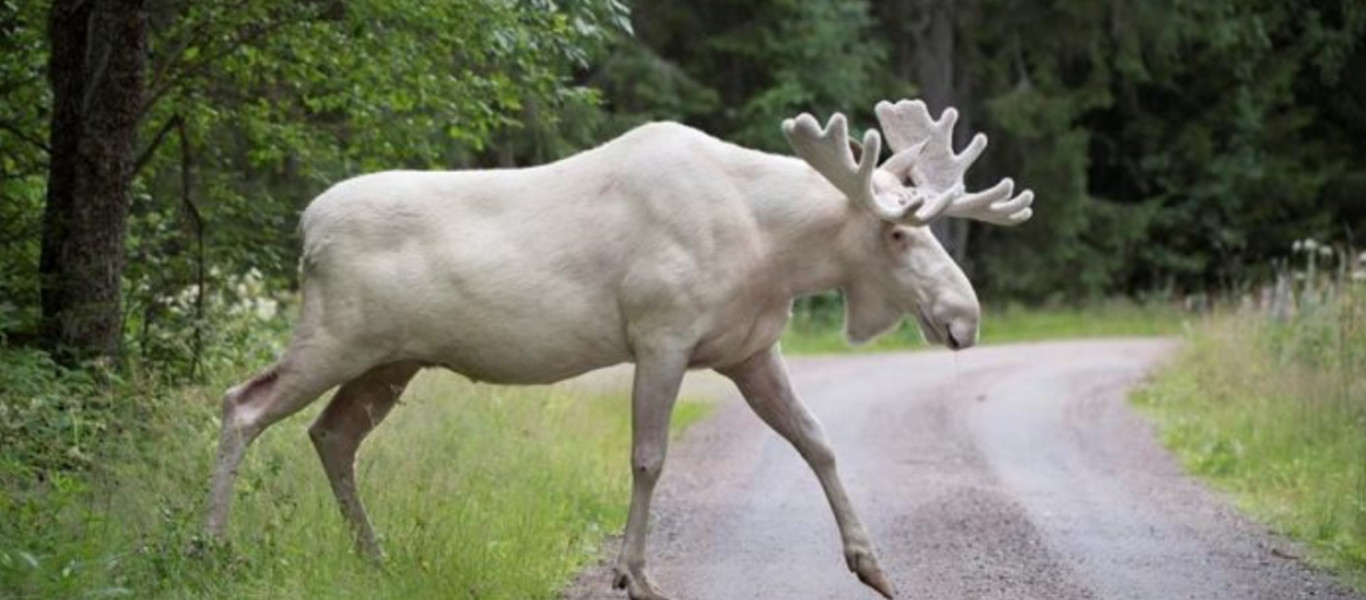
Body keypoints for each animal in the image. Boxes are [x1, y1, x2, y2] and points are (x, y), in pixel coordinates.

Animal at [204, 101, 1032, 598]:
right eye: (896, 232)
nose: (965, 318)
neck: (772, 250)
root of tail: (305, 227)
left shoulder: (749, 350)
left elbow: (819, 442)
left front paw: (873, 565)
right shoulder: (661, 334)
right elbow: (648, 458)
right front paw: (635, 575)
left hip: (391, 360)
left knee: (332, 433)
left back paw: (372, 555)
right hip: (337, 336)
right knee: (242, 403)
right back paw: (213, 547)